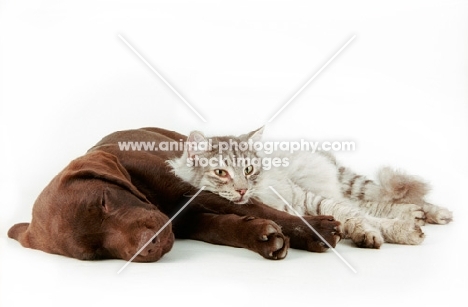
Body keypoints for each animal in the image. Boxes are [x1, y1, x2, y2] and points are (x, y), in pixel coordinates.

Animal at [9, 127, 342, 262]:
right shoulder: (189, 221)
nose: (149, 246)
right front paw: (261, 237)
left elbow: (258, 208)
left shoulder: (194, 191)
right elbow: (224, 228)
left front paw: (316, 230)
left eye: (104, 201)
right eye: (95, 253)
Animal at [169, 127, 454, 250]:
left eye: (248, 170)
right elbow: (362, 220)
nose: (241, 191)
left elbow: (356, 216)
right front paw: (378, 233)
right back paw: (416, 215)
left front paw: (394, 230)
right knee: (369, 204)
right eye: (221, 173)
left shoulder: (311, 200)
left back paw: (434, 213)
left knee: (369, 202)